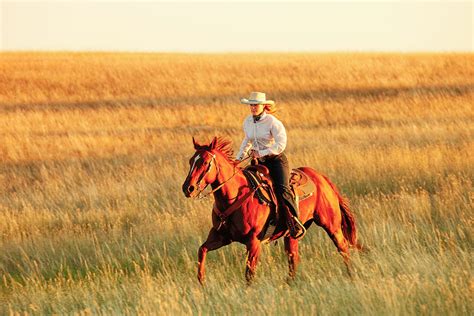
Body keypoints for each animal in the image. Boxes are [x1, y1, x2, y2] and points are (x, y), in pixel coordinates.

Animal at [181, 136, 362, 284]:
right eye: (191, 161)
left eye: (205, 163)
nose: (188, 188)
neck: (235, 196)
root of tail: (322, 178)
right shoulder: (221, 237)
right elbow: (202, 250)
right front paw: (202, 282)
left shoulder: (253, 242)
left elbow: (249, 274)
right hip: (291, 235)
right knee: (293, 258)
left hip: (331, 225)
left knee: (342, 247)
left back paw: (351, 275)